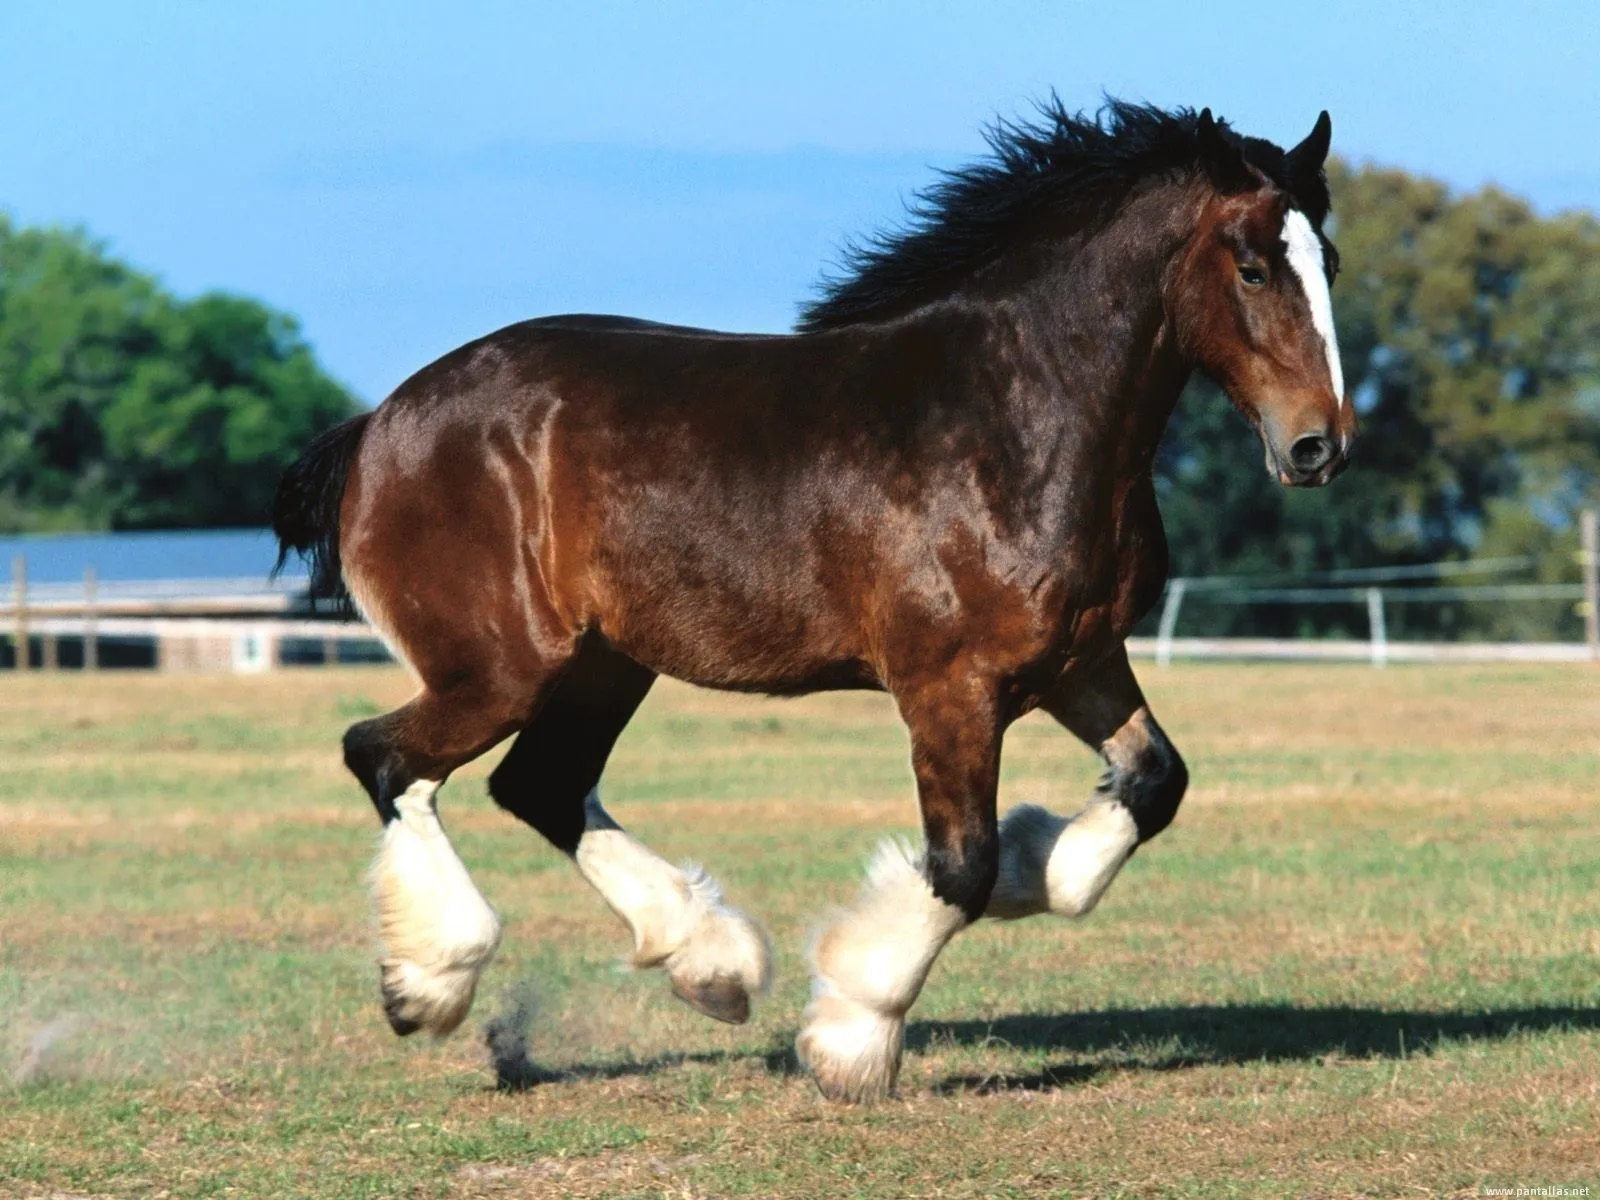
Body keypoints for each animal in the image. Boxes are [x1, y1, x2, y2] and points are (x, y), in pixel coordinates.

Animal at [272, 98, 1350, 1107]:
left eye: (1327, 257)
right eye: (1253, 267)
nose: (1317, 446)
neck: (1011, 425)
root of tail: (380, 425)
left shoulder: (1081, 663)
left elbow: (1149, 785)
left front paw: (1033, 862)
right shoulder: (949, 689)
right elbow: (959, 865)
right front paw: (853, 1035)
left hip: (603, 665)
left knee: (535, 784)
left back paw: (710, 963)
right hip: (502, 668)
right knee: (386, 758)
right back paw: (429, 983)